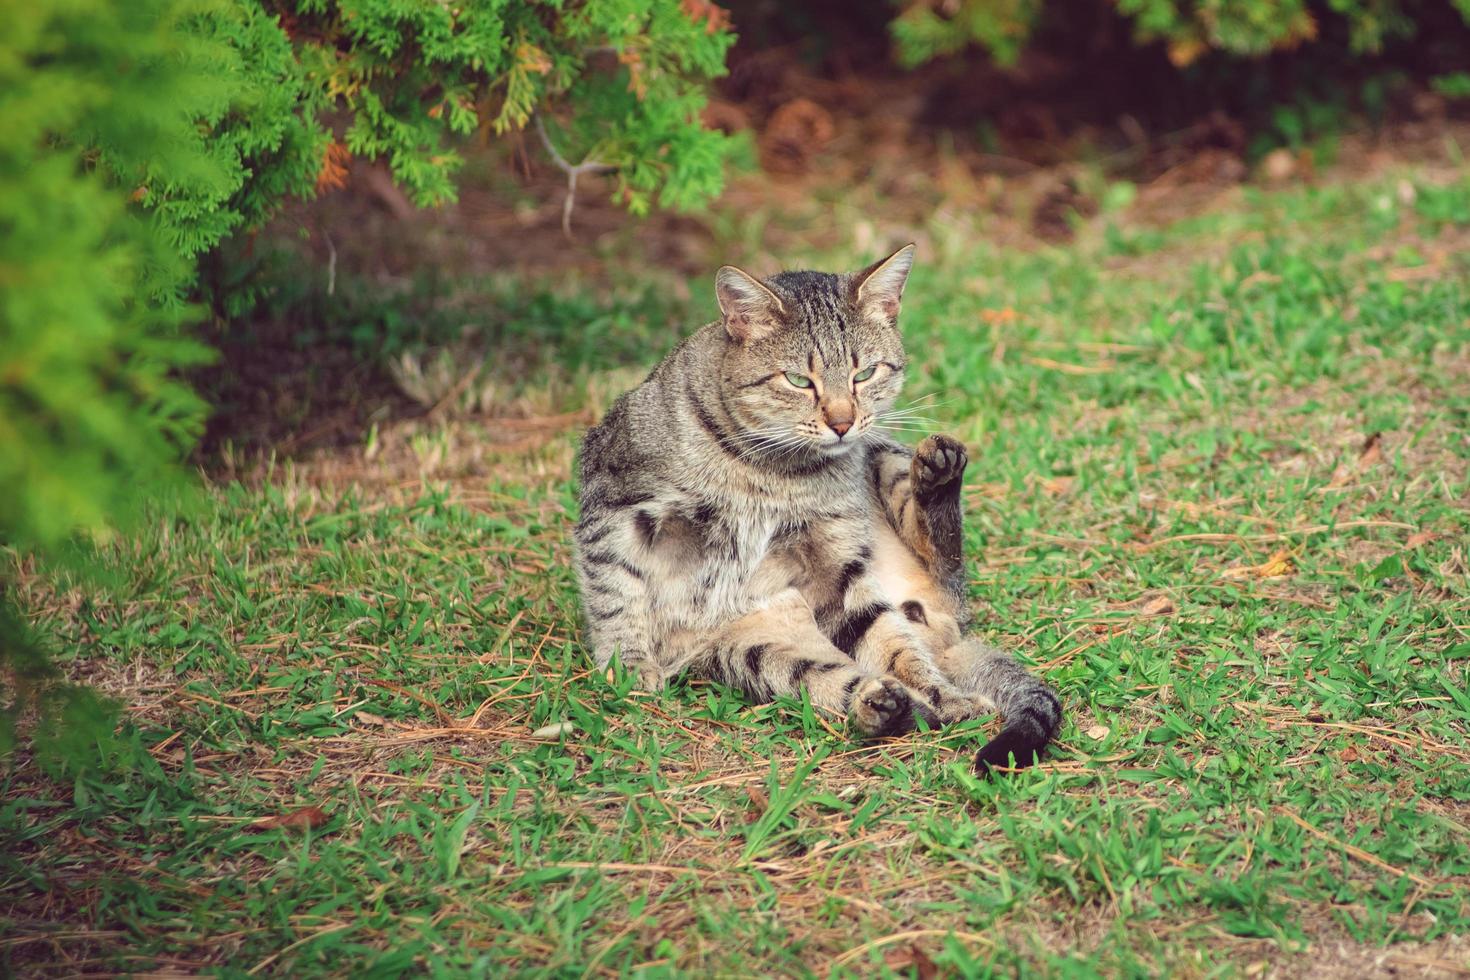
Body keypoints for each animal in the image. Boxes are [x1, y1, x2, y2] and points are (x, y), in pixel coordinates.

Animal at [567, 246, 1064, 775]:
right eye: (798, 380)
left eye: (864, 374)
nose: (843, 423)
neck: (769, 470)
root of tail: (947, 635)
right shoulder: (614, 506)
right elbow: (614, 592)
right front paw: (627, 664)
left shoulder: (834, 561)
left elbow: (889, 642)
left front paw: (945, 697)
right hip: (757, 656)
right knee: (833, 678)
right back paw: (880, 704)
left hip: (884, 462)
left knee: (935, 574)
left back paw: (938, 476)